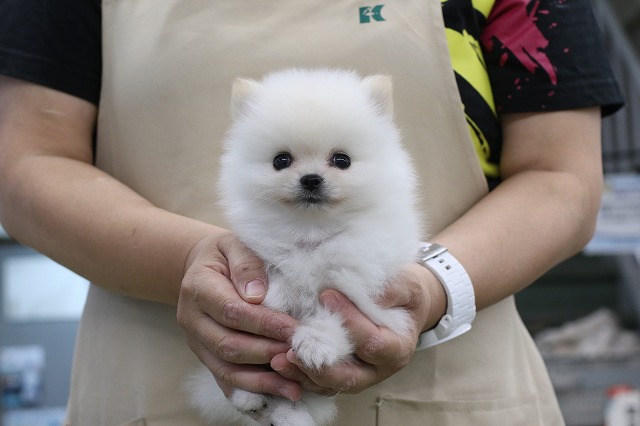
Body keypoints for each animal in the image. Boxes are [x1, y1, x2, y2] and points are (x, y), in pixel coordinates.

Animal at [186, 68, 424, 424]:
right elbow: (280, 283)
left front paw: (316, 344)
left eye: (342, 160)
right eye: (281, 160)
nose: (311, 179)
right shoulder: (266, 260)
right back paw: (249, 396)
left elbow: (330, 312)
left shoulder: (356, 285)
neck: (311, 231)